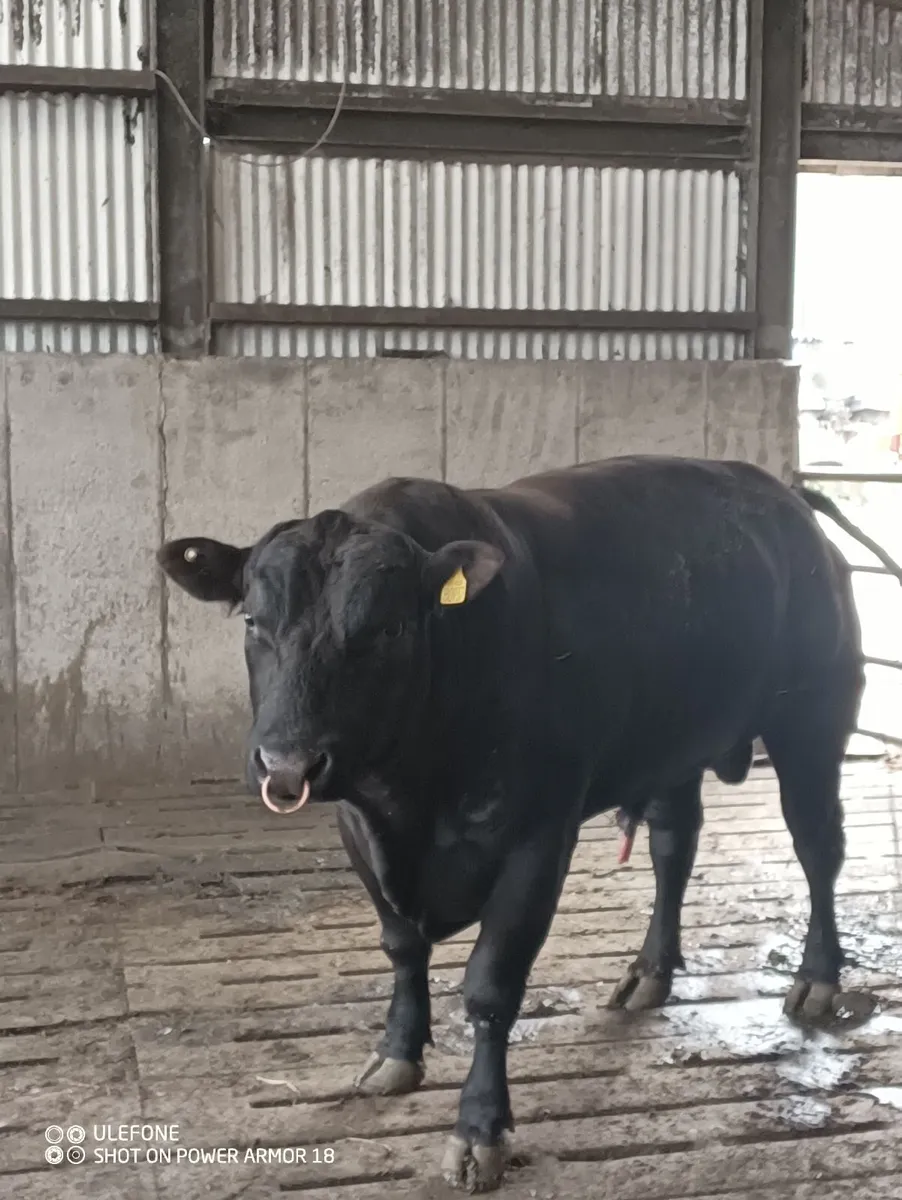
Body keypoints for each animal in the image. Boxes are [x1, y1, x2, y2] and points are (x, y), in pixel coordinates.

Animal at [157, 455, 902, 1193]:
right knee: (674, 845)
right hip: (673, 744)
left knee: (817, 847)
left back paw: (817, 980)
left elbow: (492, 984)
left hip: (811, 720)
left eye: (390, 629)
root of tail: (785, 492)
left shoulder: (539, 836)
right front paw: (396, 1053)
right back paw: (649, 971)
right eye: (252, 623)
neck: (413, 800)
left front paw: (479, 1131)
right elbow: (401, 948)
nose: (288, 763)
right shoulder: (360, 829)